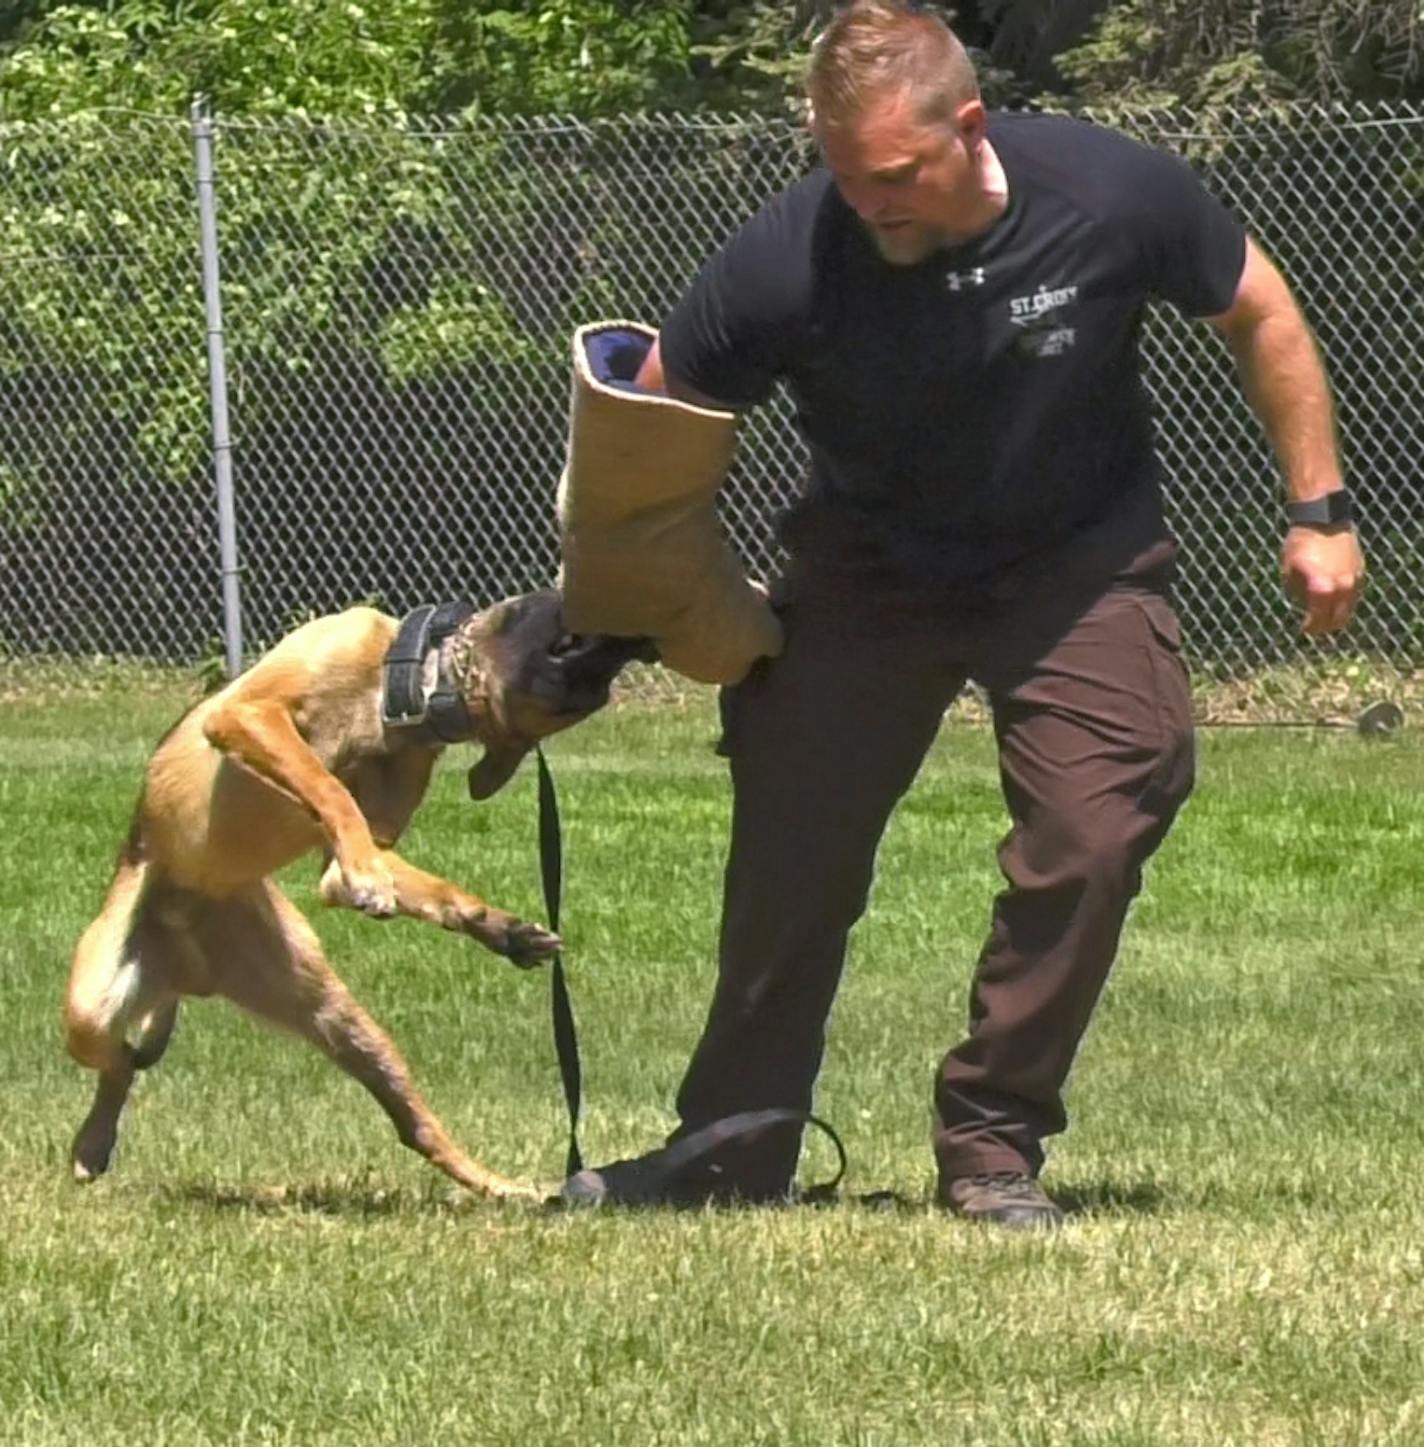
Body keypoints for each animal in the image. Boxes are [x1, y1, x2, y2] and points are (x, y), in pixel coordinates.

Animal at [62, 587, 651, 1198]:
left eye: (594, 689)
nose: (646, 639)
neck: (404, 694)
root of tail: (189, 972)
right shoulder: (251, 711)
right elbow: (325, 784)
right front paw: (370, 876)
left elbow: (406, 872)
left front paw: (500, 929)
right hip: (90, 1006)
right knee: (119, 1061)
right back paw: (91, 1143)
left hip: (331, 1012)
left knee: (417, 1128)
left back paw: (505, 1187)